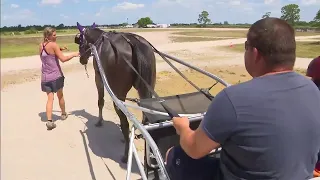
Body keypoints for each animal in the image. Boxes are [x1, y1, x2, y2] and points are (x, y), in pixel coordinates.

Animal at [75, 22, 155, 163]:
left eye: (79, 40)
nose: (82, 59)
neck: (98, 41)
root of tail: (133, 42)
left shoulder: (98, 77)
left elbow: (100, 101)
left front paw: (99, 121)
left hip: (118, 95)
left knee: (125, 122)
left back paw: (126, 154)